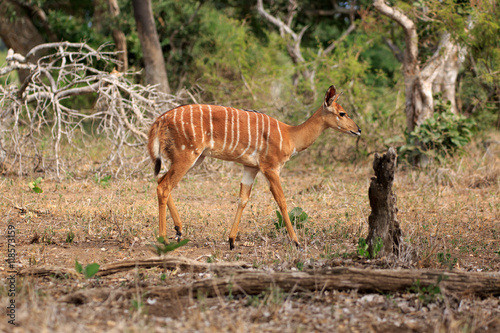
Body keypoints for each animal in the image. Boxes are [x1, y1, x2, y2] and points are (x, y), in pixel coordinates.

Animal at [146, 85, 362, 249]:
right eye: (342, 113)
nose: (358, 130)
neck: (290, 135)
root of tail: (160, 119)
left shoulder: (251, 167)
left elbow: (243, 199)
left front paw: (232, 241)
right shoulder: (271, 167)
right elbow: (282, 201)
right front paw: (297, 242)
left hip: (195, 157)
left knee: (161, 180)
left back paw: (179, 230)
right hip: (187, 155)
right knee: (164, 186)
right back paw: (163, 239)